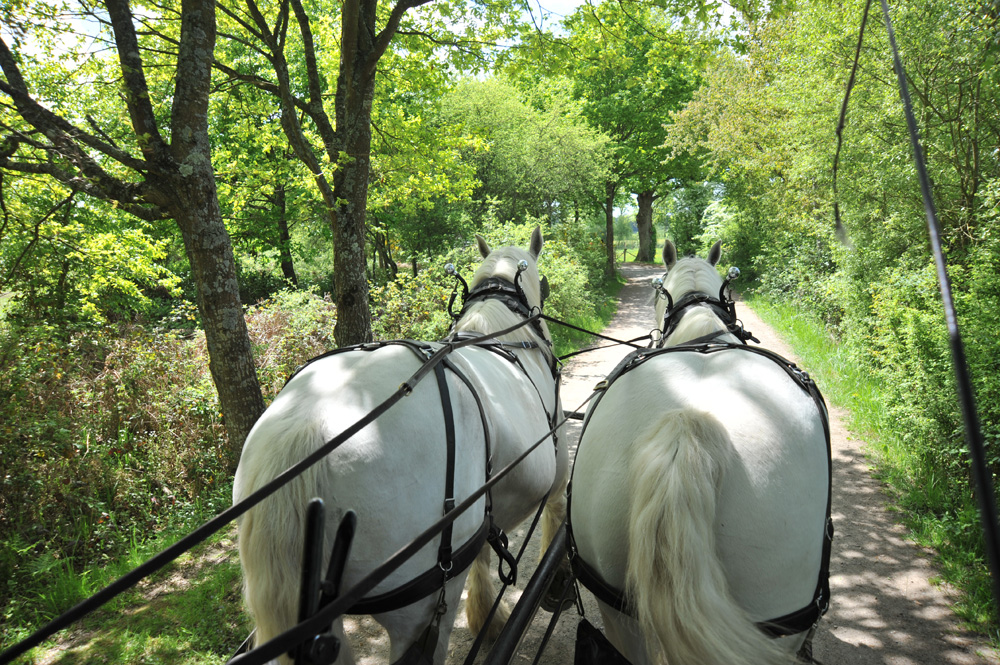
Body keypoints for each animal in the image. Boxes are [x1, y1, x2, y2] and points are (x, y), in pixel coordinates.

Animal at [230, 226, 568, 660]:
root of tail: (303, 428)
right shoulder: (557, 462)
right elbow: (557, 513)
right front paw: (556, 583)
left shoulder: (482, 512)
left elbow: (482, 554)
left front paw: (483, 617)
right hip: (420, 608)